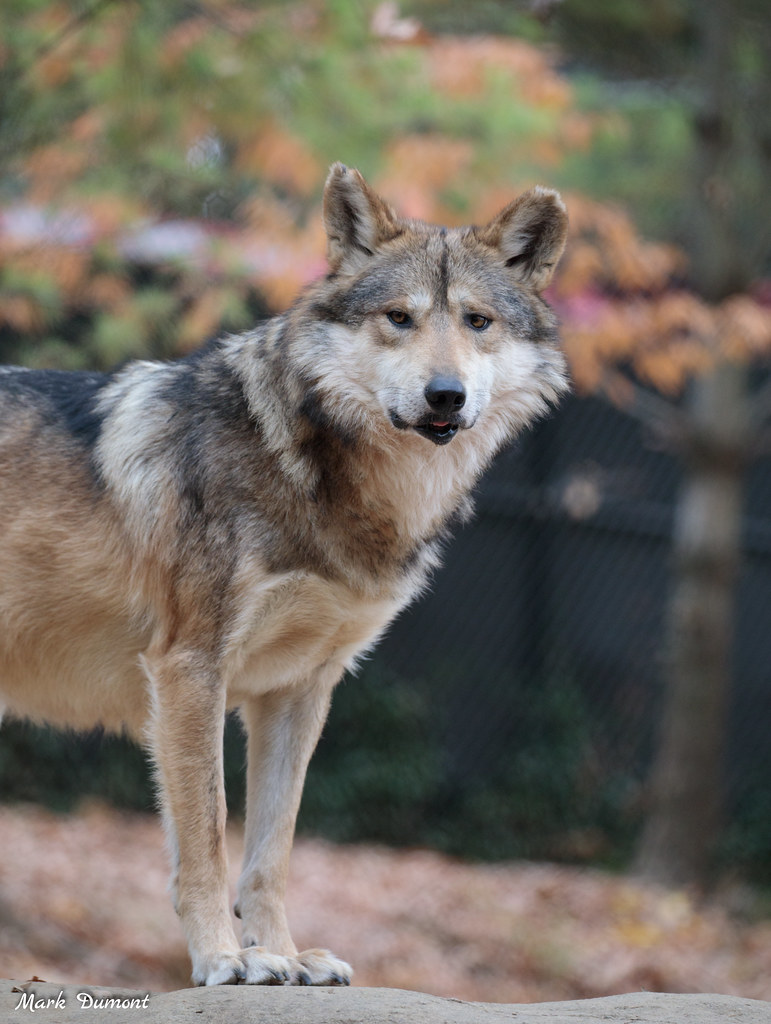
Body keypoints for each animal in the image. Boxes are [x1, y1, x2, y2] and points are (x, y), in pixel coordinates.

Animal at [0, 164, 568, 986]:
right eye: (399, 318)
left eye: (478, 321)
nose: (445, 395)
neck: (314, 473)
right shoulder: (188, 669)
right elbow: (207, 834)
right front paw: (224, 960)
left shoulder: (298, 690)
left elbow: (272, 849)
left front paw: (285, 956)